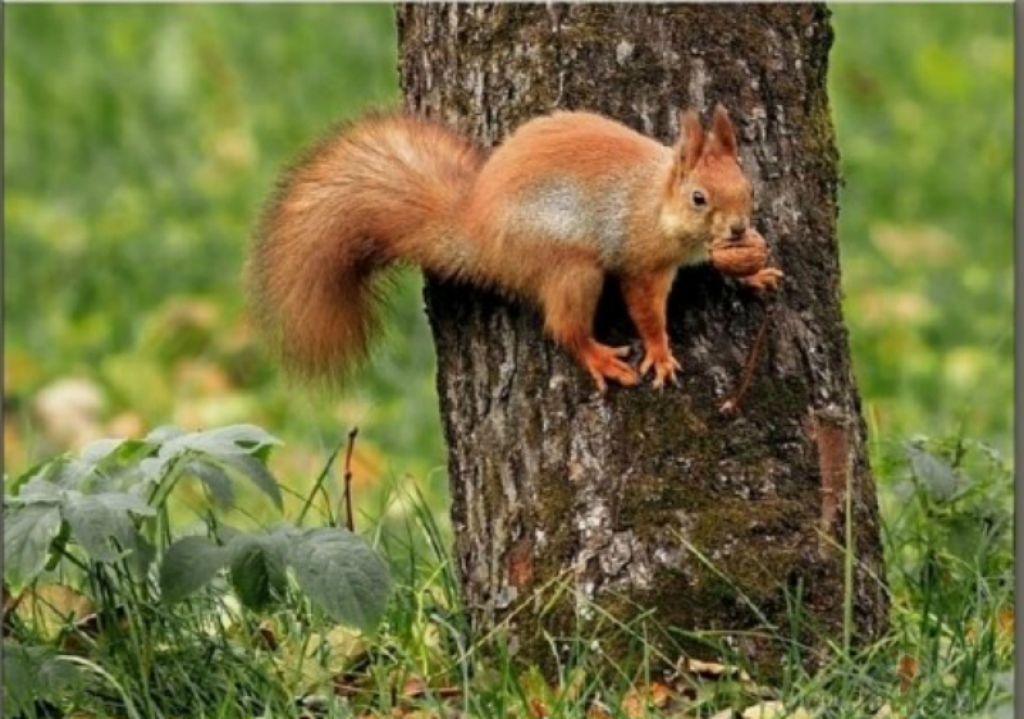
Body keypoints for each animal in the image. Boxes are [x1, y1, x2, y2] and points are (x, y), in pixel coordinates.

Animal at [249, 104, 774, 391]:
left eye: (748, 187)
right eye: (699, 197)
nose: (737, 229)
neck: (656, 199)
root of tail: (477, 234)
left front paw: (754, 272)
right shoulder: (641, 260)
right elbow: (645, 310)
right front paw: (661, 353)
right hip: (568, 267)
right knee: (563, 326)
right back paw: (598, 357)